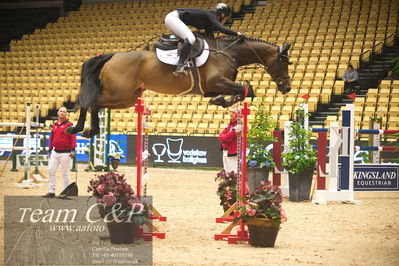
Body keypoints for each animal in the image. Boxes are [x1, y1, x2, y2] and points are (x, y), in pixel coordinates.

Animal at [65, 35, 290, 138]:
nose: (287, 88)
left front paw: (220, 101)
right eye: (284, 61)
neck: (229, 52)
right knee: (92, 101)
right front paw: (223, 100)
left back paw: (78, 128)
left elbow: (243, 91)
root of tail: (112, 56)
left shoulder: (213, 87)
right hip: (118, 93)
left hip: (126, 98)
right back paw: (87, 129)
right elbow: (247, 89)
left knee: (93, 102)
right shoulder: (217, 82)